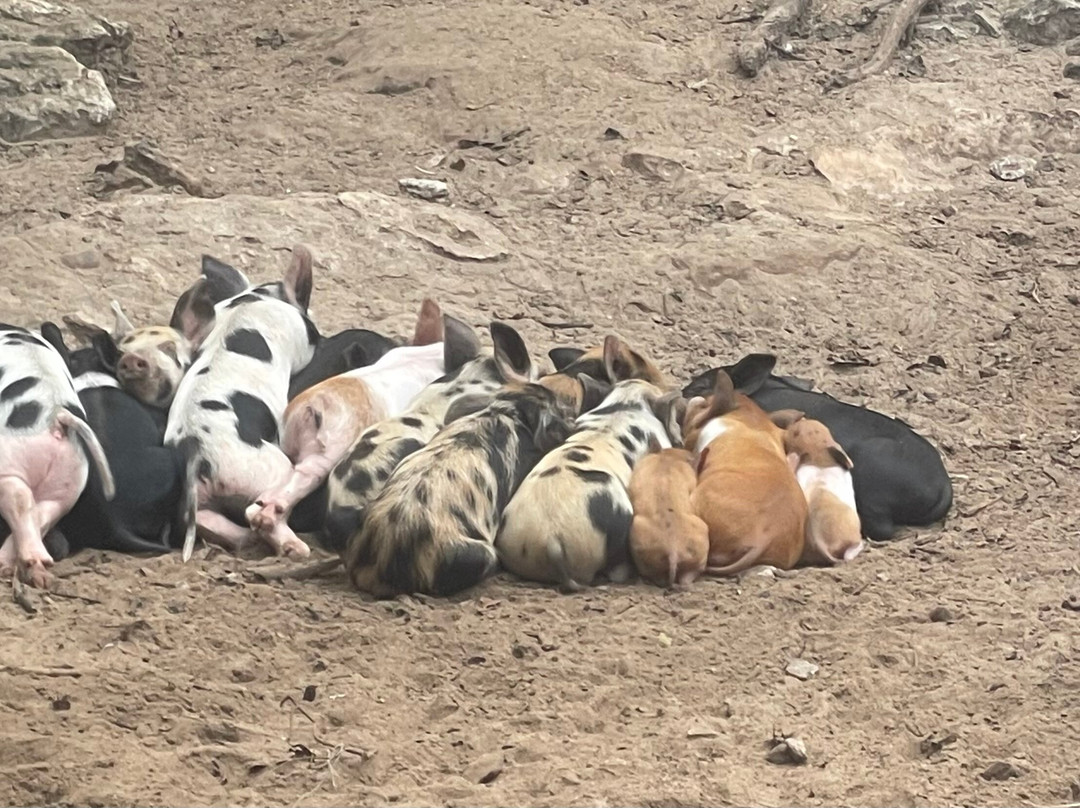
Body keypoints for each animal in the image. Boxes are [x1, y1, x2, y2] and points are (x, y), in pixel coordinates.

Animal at [164, 245, 320, 561]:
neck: (257, 298)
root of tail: (196, 451)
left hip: (202, 497)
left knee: (207, 520)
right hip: (271, 468)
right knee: (260, 511)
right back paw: (296, 549)